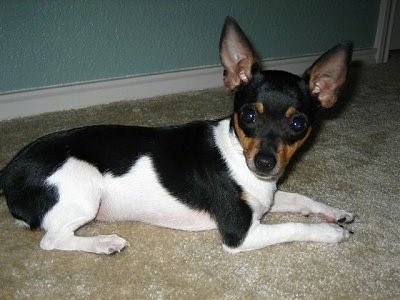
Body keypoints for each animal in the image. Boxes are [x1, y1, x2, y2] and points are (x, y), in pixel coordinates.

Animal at [0, 16, 354, 254]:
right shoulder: (239, 234)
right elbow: (294, 225)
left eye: (298, 125)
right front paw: (330, 233)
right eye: (249, 115)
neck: (237, 153)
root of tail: (10, 170)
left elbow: (299, 199)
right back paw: (103, 243)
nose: (264, 163)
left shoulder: (265, 198)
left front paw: (334, 213)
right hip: (83, 188)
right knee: (52, 240)